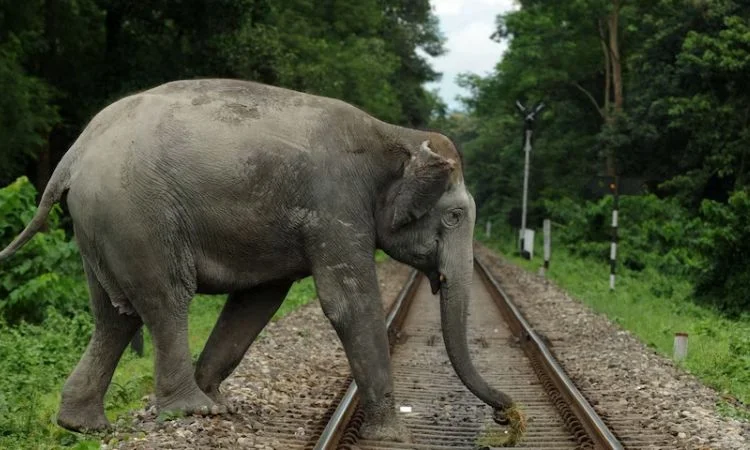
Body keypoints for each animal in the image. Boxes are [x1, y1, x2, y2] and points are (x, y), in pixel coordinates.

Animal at [0, 79, 513, 441]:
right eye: (453, 217)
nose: (506, 412)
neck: (393, 135)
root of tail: (73, 154)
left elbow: (257, 302)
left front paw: (221, 401)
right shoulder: (335, 205)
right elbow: (348, 303)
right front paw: (393, 435)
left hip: (101, 224)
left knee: (114, 316)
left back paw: (85, 425)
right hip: (136, 215)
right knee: (166, 301)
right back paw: (189, 409)